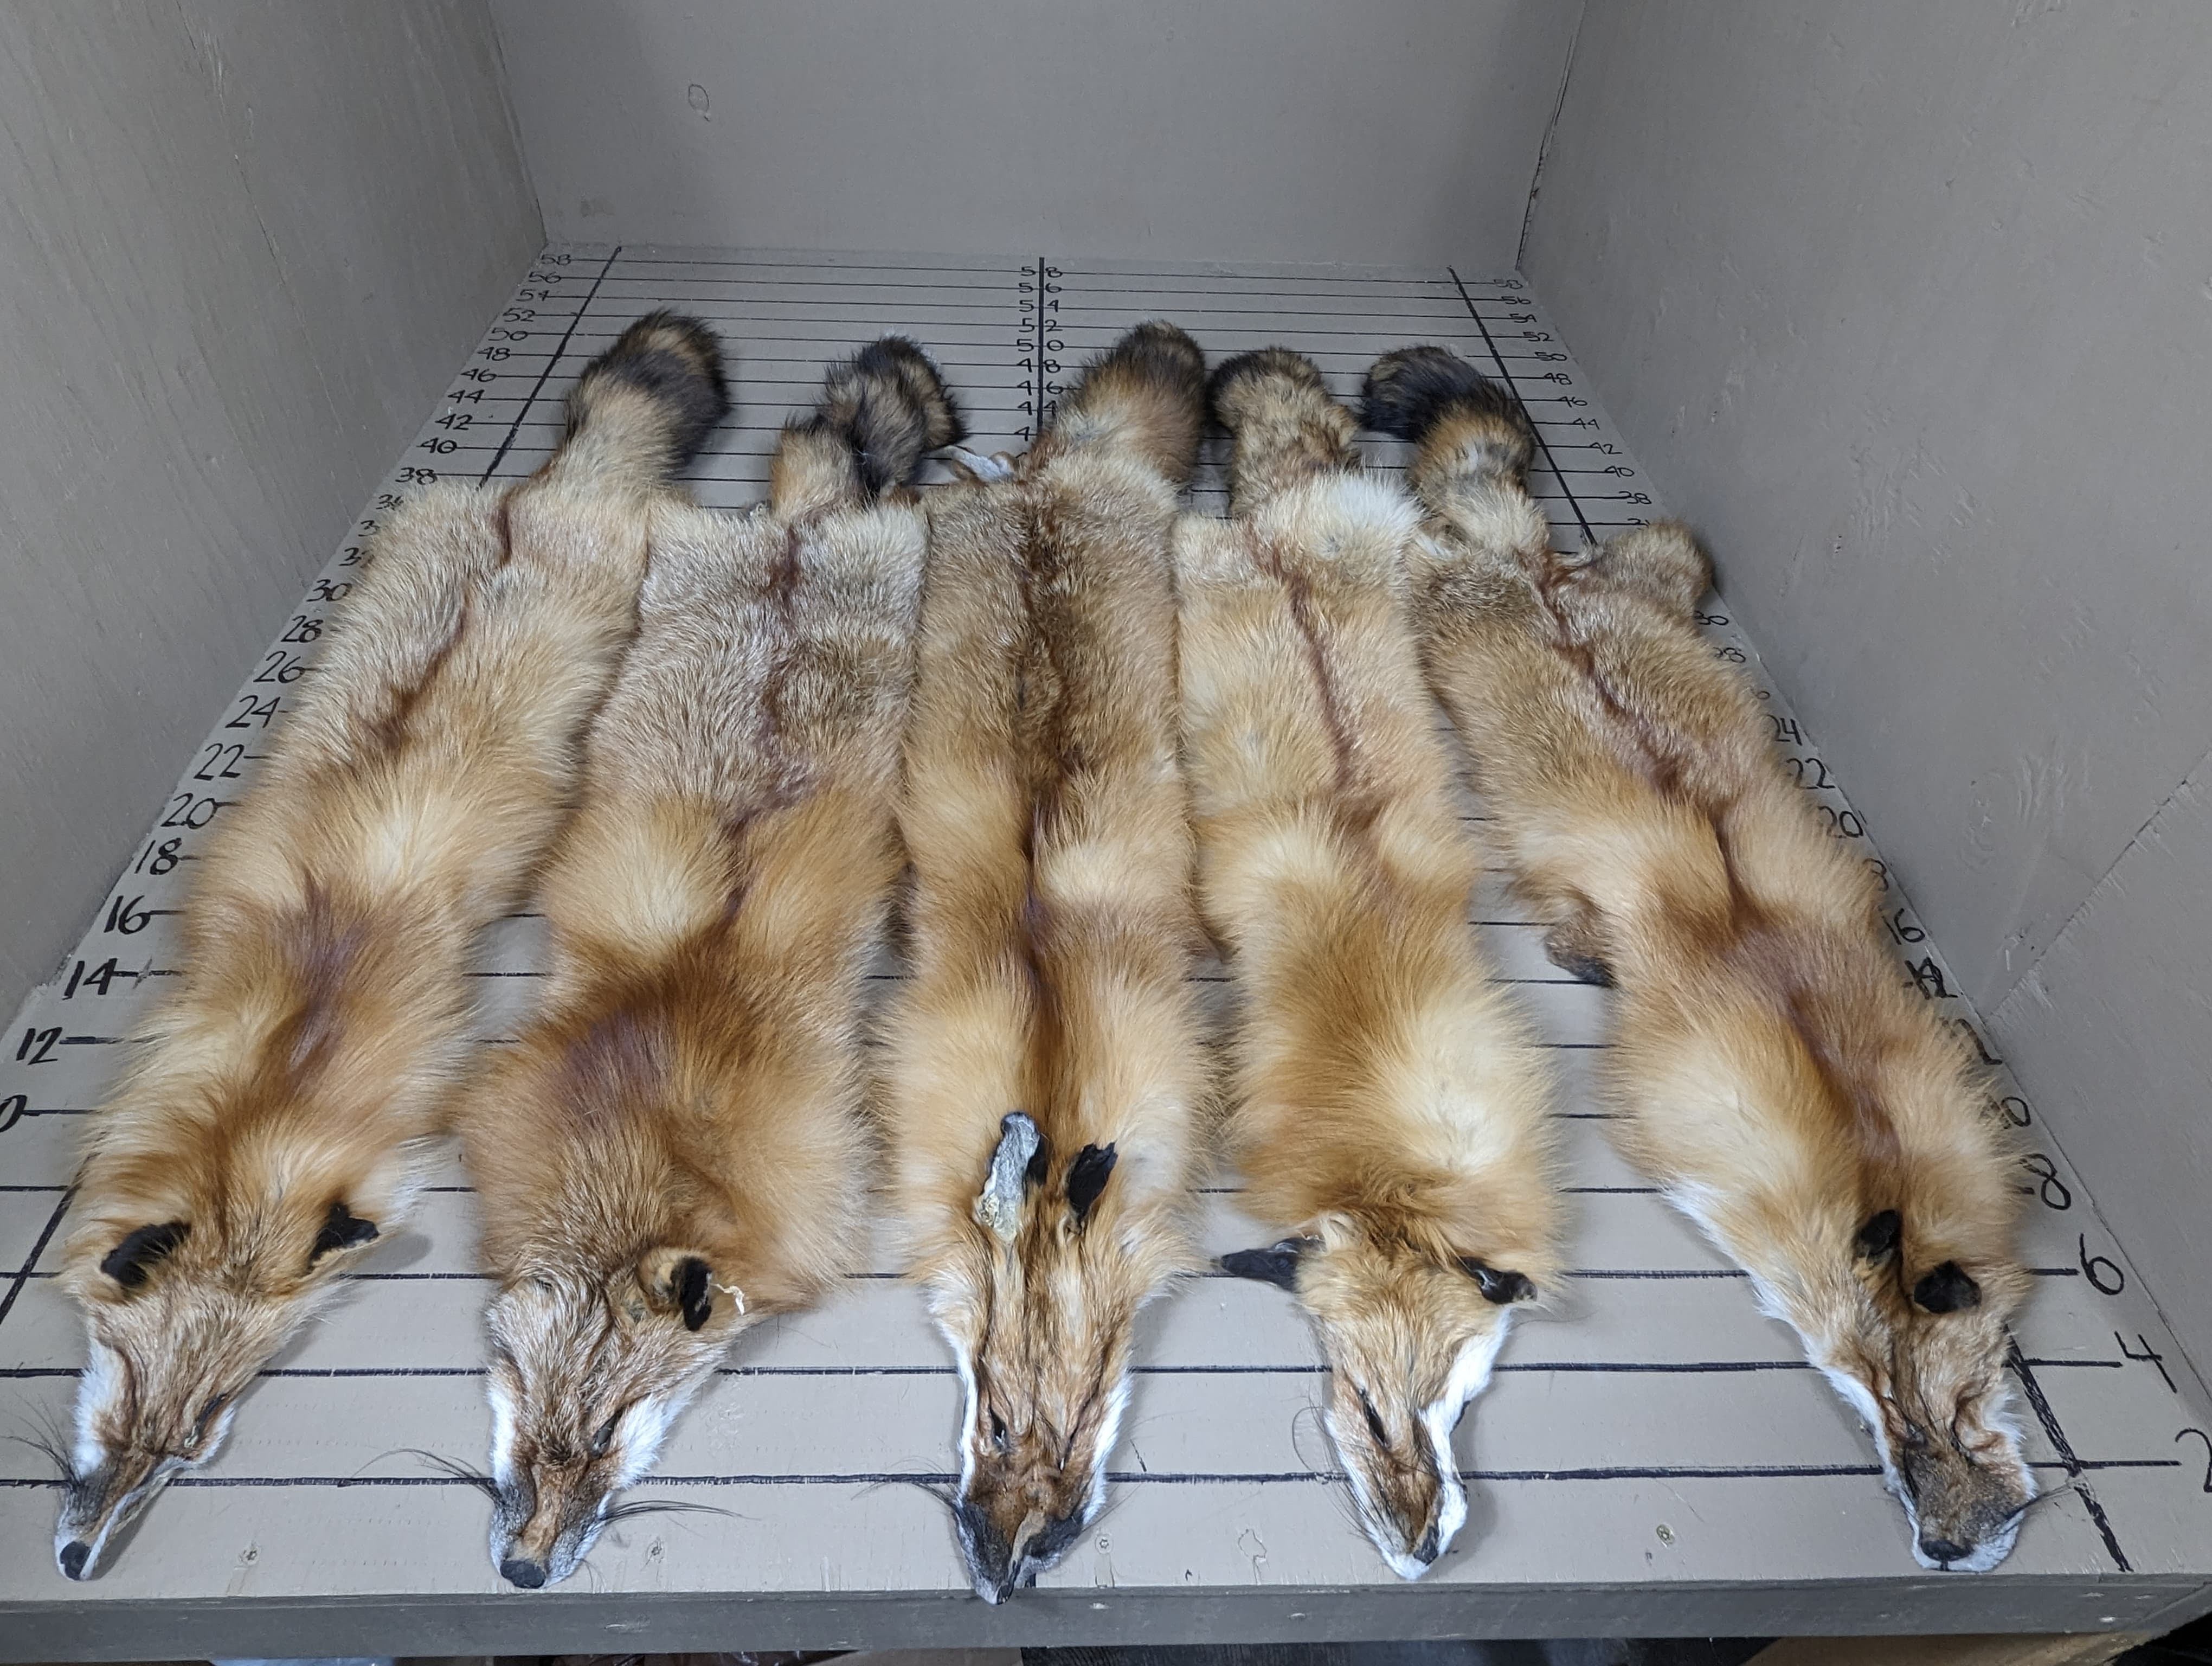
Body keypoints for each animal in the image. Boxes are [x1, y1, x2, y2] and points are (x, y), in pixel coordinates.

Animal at [451, 337, 958, 1591]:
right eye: (528, 1431)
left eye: (607, 1438)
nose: (522, 1573)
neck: (642, 1138)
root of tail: (798, 542)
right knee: (814, 448)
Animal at [1365, 344, 2033, 1573]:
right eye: (1870, 1401)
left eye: (1961, 1408)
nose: (1944, 1548)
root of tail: (1525, 565)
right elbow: (1584, 939)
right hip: (1435, 587)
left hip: (1656, 575)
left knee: (1643, 535)